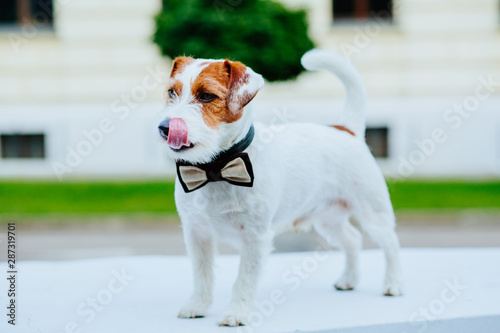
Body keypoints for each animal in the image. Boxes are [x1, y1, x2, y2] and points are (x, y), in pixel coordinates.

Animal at [158, 48, 404, 324]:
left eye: (207, 96)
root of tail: (346, 129)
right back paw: (348, 279)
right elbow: (202, 274)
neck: (216, 168)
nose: (165, 128)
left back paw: (393, 284)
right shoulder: (197, 233)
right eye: (171, 92)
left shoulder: (255, 237)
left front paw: (237, 312)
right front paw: (197, 305)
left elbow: (244, 279)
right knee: (353, 239)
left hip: (373, 213)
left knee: (390, 244)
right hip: (328, 219)